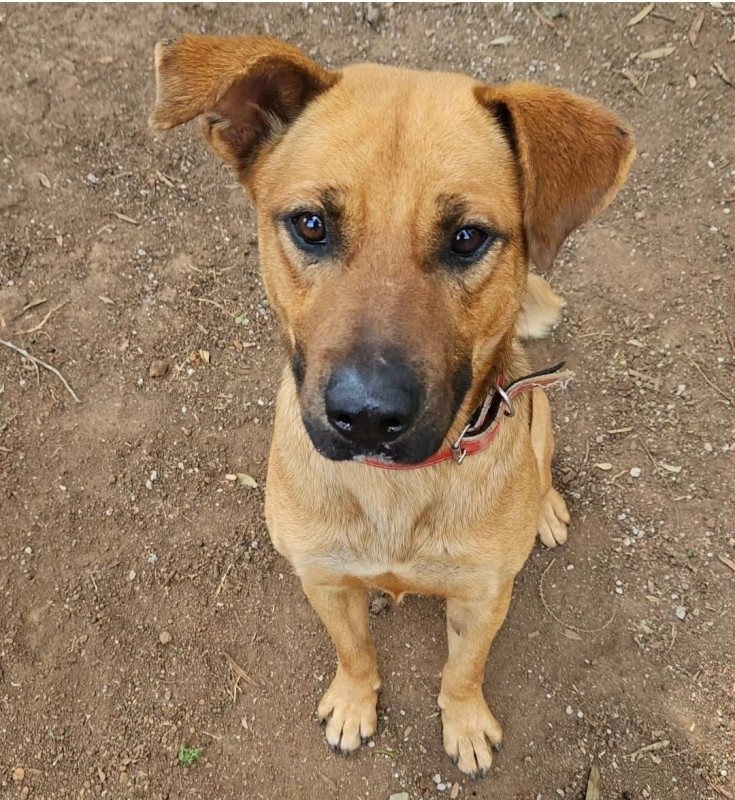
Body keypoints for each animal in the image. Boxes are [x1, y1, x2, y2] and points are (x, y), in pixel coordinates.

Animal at [152, 34, 636, 780]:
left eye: (466, 237)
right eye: (311, 224)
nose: (368, 416)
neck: (394, 491)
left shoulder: (481, 597)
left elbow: (462, 671)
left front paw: (464, 723)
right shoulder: (323, 580)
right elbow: (355, 652)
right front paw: (355, 702)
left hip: (541, 418)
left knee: (544, 456)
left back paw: (546, 508)